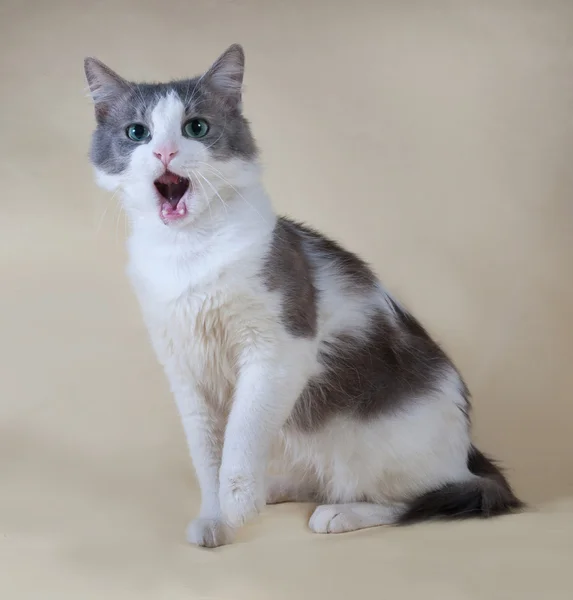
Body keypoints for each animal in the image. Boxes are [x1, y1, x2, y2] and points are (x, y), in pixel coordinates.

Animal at [82, 44, 520, 548]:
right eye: (138, 132)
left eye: (196, 128)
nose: (165, 151)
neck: (188, 253)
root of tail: (468, 448)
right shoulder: (185, 371)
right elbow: (207, 456)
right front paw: (216, 518)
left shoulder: (277, 350)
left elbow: (241, 435)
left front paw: (238, 503)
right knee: (321, 478)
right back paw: (275, 488)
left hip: (380, 446)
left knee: (416, 498)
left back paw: (338, 513)